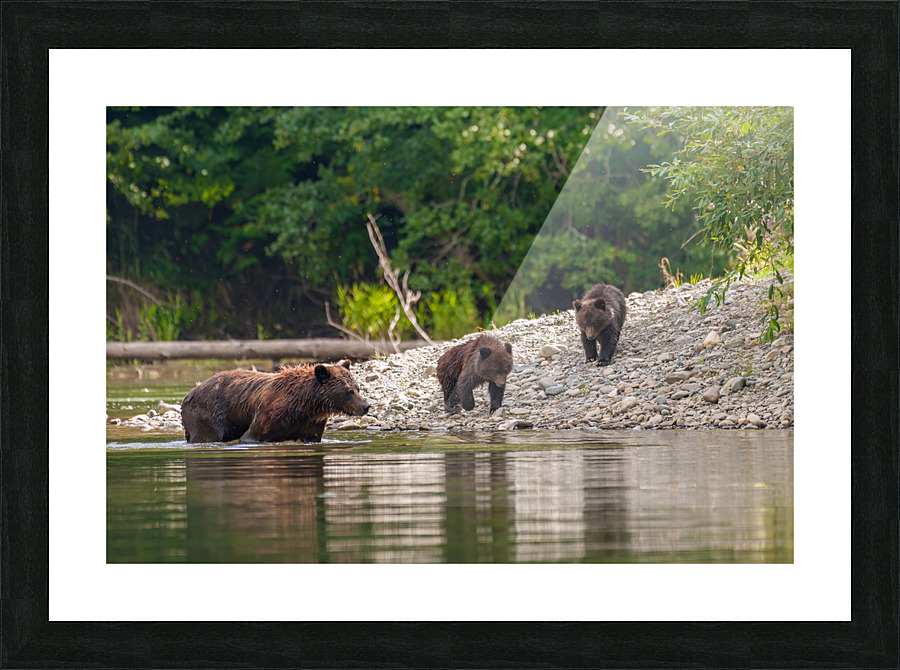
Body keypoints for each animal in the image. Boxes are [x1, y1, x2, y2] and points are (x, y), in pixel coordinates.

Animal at [181, 359, 369, 444]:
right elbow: (251, 436)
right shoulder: (270, 415)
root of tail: (188, 395)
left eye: (358, 387)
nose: (366, 406)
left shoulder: (311, 424)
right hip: (209, 414)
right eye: (348, 390)